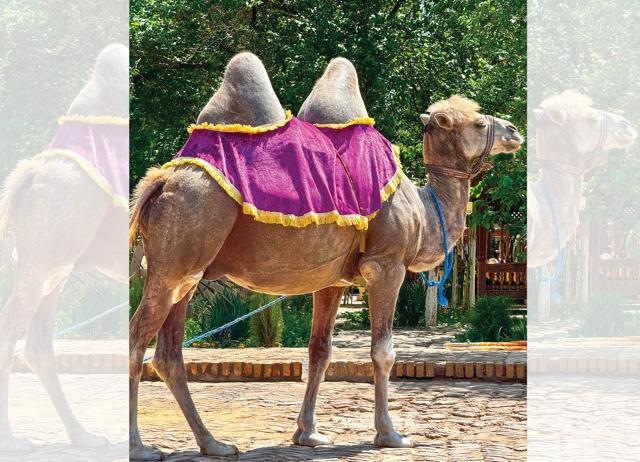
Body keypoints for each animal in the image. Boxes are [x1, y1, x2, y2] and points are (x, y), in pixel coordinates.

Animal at [0, 43, 128, 452]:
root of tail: (30, 173)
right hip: (48, 246)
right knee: (11, 329)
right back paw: (12, 439)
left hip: (54, 264)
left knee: (39, 344)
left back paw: (84, 435)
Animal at [128, 52, 523, 460]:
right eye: (478, 122)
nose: (514, 130)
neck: (423, 207)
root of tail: (159, 181)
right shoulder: (386, 266)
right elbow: (383, 351)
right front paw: (390, 434)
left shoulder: (333, 281)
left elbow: (320, 351)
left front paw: (308, 434)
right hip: (174, 260)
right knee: (136, 338)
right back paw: (140, 446)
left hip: (188, 273)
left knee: (168, 354)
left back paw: (214, 443)